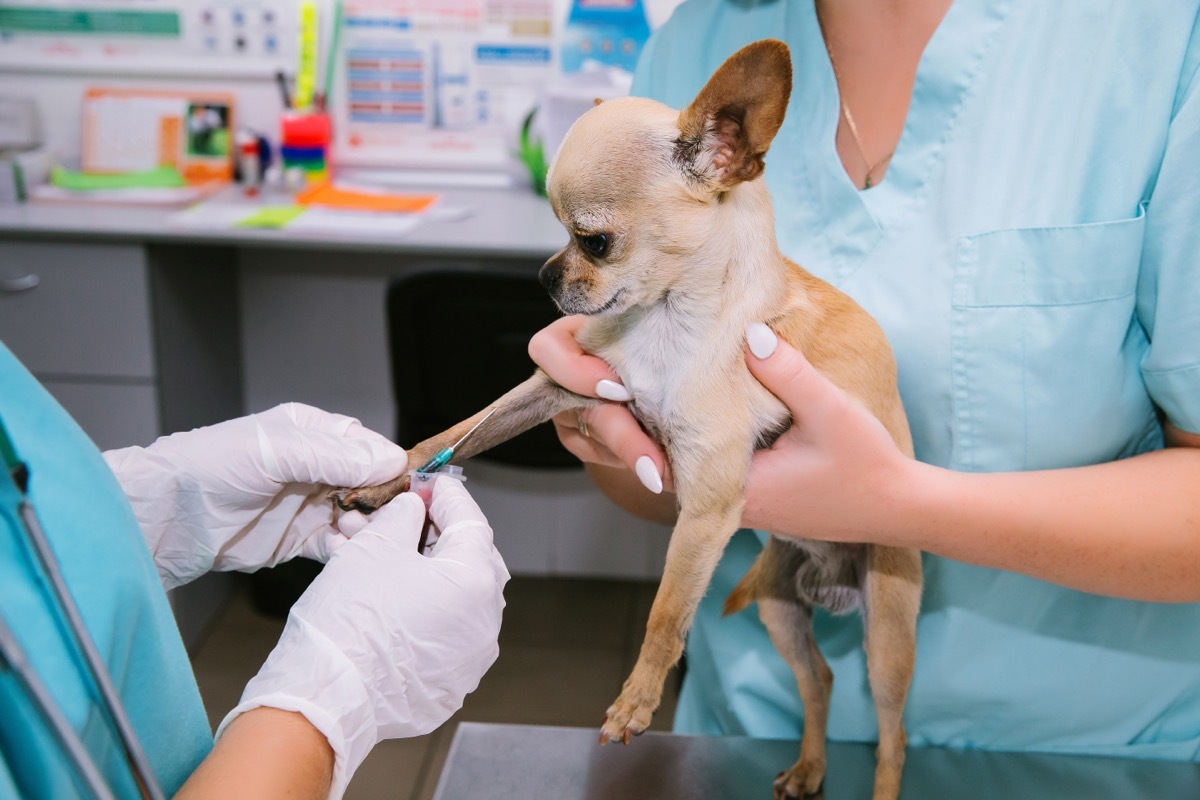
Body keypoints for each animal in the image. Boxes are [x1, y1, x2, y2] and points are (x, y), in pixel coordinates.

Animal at [343, 40, 921, 800]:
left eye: (593, 241)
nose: (543, 277)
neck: (667, 325)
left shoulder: (705, 508)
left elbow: (667, 611)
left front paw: (638, 699)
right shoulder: (558, 386)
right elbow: (450, 435)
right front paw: (385, 479)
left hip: (888, 629)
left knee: (892, 736)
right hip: (781, 609)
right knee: (821, 679)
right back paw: (809, 766)